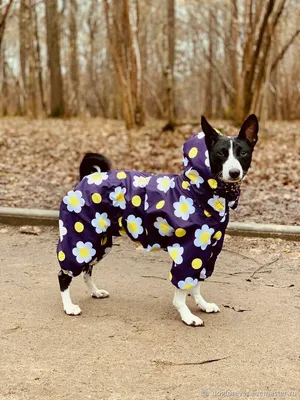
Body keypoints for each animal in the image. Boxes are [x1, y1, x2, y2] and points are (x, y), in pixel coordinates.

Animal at [56, 114, 258, 326]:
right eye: (220, 153)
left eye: (243, 153)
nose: (234, 172)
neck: (197, 191)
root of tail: (86, 178)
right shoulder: (188, 251)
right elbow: (182, 289)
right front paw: (187, 315)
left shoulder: (206, 250)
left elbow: (195, 285)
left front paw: (202, 304)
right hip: (79, 239)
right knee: (64, 274)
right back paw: (68, 306)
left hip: (99, 243)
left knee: (87, 270)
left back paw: (95, 292)